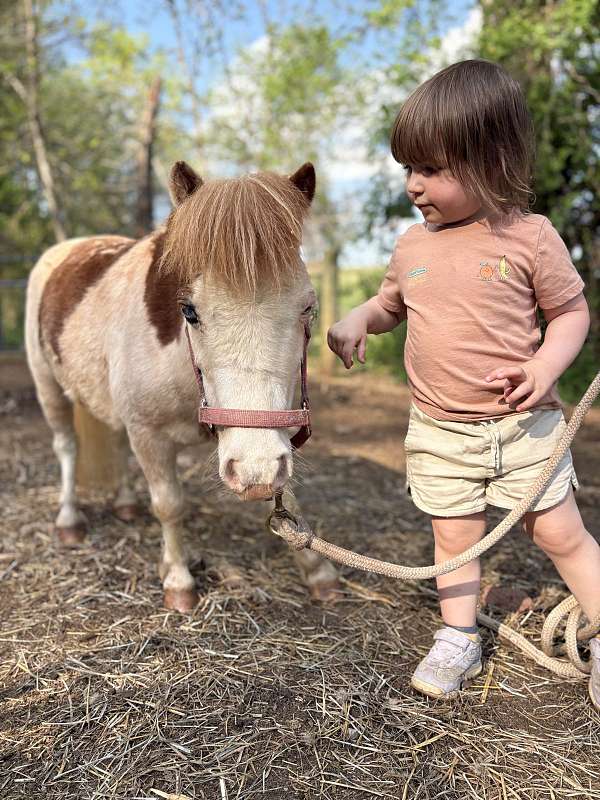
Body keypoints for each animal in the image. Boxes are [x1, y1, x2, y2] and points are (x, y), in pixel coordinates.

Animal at [25, 160, 339, 612]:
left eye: (308, 308)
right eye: (189, 311)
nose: (255, 471)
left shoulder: (271, 435)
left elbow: (288, 499)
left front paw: (318, 572)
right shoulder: (149, 434)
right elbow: (169, 505)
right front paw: (178, 580)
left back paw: (125, 505)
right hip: (48, 387)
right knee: (66, 447)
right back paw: (69, 519)